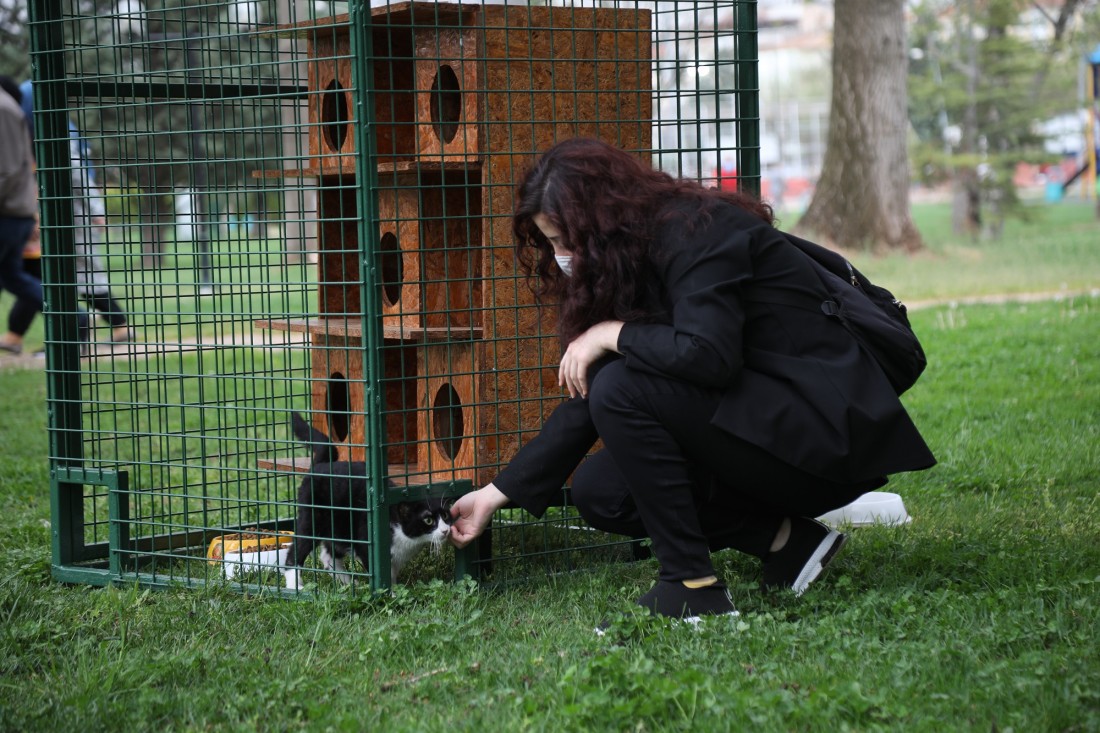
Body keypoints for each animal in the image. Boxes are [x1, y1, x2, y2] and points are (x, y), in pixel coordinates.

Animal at [288, 411, 455, 589]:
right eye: (428, 520)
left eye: (445, 516)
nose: (446, 530)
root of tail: (321, 465)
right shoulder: (367, 542)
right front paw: (389, 593)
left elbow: (392, 573)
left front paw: (395, 588)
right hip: (313, 516)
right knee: (296, 551)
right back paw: (295, 586)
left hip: (339, 525)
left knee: (328, 555)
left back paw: (348, 583)